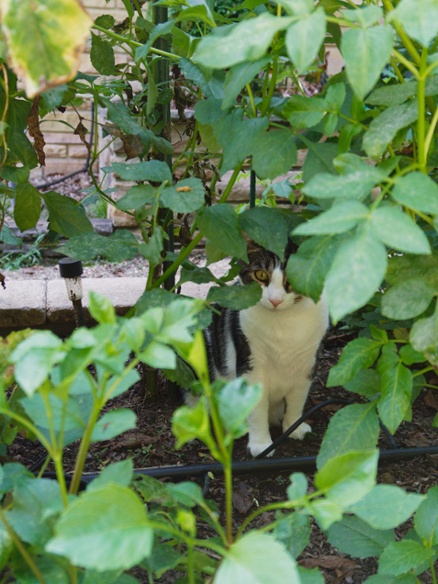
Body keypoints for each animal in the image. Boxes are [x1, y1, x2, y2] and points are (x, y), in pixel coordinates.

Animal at [204, 244, 328, 458]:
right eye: (261, 274)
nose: (275, 300)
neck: (283, 324)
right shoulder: (252, 365)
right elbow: (257, 408)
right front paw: (261, 445)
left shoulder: (307, 364)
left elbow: (297, 401)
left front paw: (295, 427)